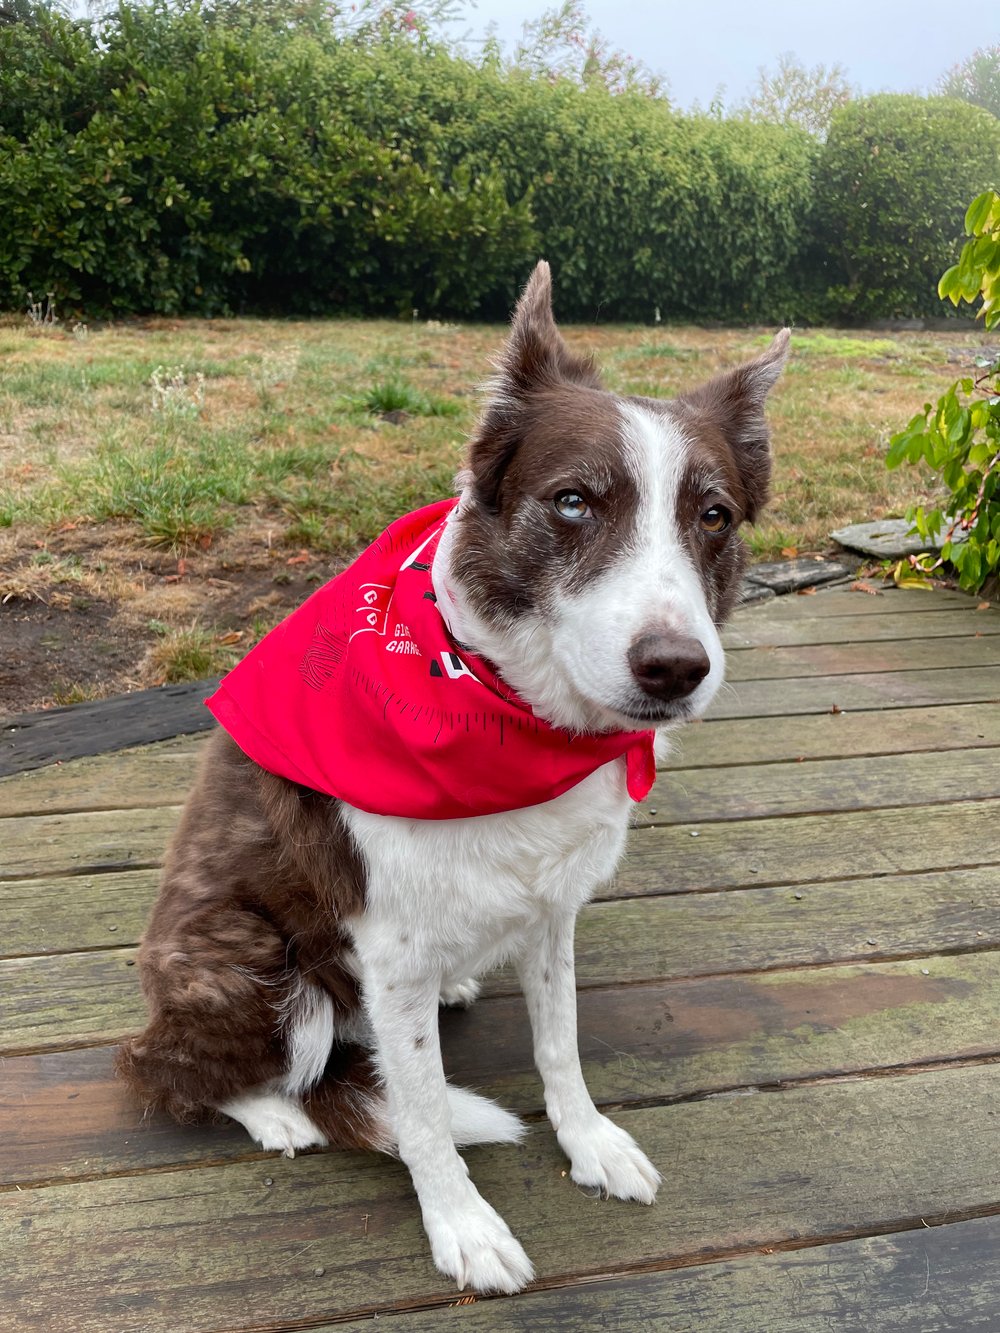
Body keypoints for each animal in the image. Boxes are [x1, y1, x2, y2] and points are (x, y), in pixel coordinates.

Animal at [115, 265, 789, 1295]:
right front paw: (463, 1225)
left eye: (713, 516)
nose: (676, 669)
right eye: (572, 502)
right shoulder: (388, 948)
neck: (512, 714)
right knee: (161, 1068)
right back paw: (273, 1109)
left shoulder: (553, 911)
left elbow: (560, 1044)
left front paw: (588, 1142)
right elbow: (426, 1110)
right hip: (254, 965)